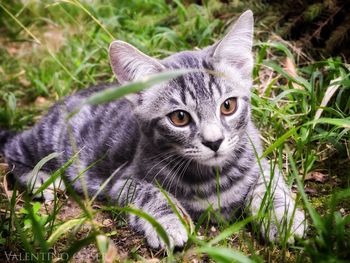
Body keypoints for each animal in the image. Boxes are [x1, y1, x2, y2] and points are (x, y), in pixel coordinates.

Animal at [0, 10, 304, 250]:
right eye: (179, 117)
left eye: (228, 106)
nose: (214, 141)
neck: (211, 178)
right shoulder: (122, 182)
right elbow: (153, 193)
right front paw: (169, 222)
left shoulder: (261, 160)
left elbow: (270, 183)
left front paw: (281, 217)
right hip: (49, 141)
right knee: (13, 149)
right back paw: (40, 177)